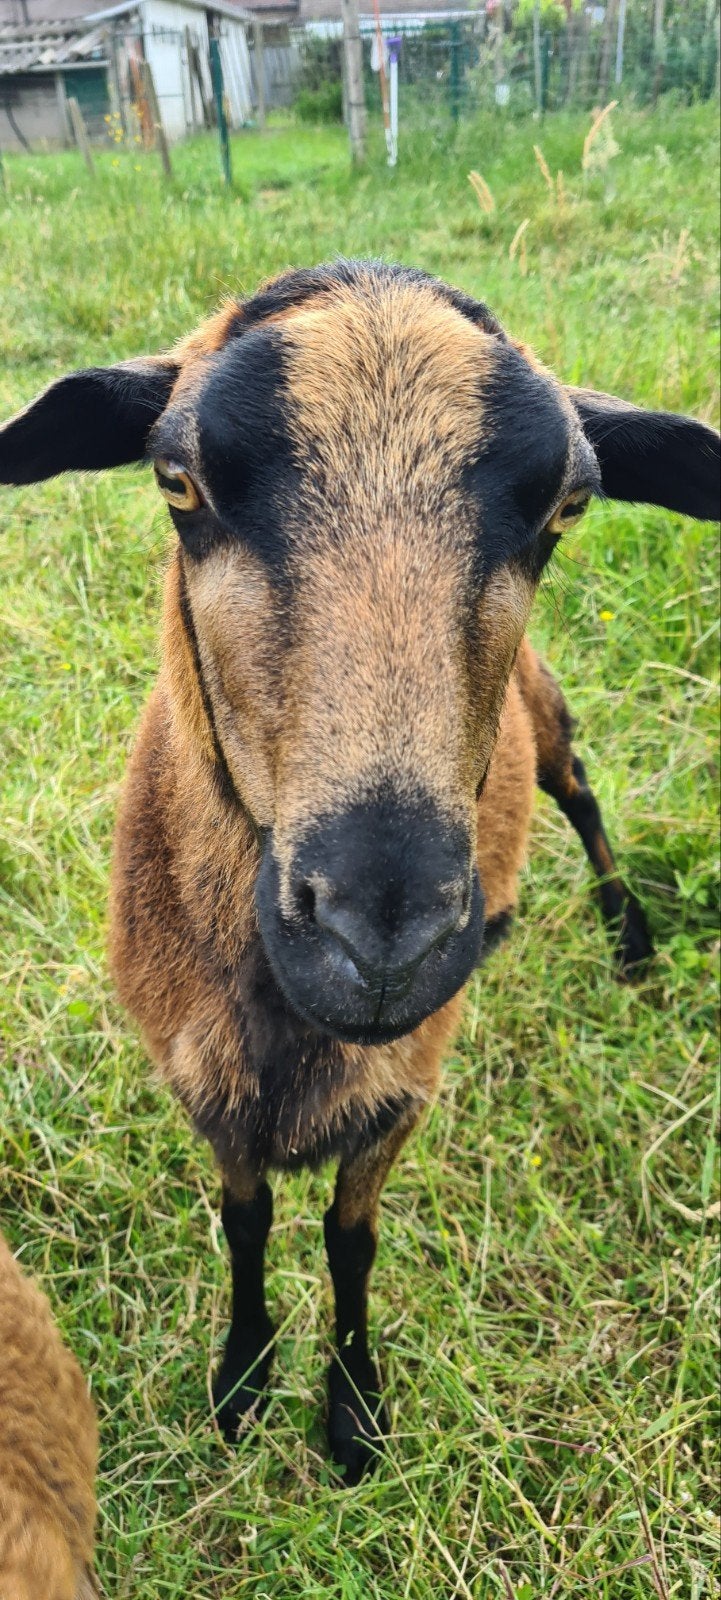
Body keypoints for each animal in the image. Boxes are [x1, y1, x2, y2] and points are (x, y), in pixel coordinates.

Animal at [1, 261, 718, 1483]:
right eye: (177, 481)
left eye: (568, 507)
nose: (381, 937)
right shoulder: (205, 1091)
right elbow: (245, 1224)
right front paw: (243, 1377)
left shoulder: (398, 1098)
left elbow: (349, 1237)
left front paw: (351, 1411)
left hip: (547, 716)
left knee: (582, 798)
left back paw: (626, 936)